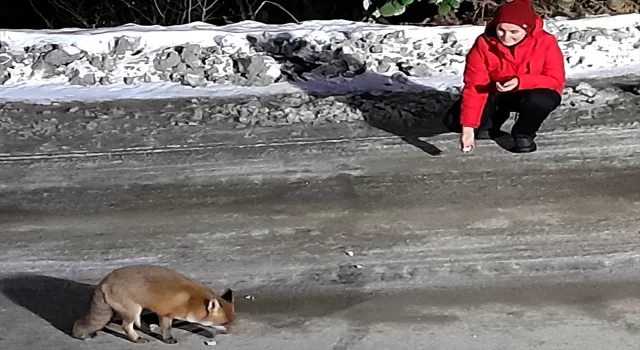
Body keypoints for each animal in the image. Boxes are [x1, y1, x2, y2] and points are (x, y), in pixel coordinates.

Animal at [71, 266, 235, 344]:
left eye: (231, 322)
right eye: (224, 323)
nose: (230, 333)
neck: (191, 301)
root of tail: (104, 281)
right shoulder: (166, 314)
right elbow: (167, 329)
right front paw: (168, 339)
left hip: (138, 309)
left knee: (138, 323)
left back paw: (147, 330)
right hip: (132, 311)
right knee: (126, 326)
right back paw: (137, 339)